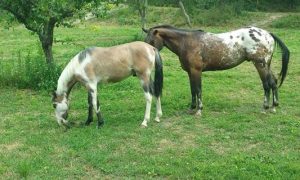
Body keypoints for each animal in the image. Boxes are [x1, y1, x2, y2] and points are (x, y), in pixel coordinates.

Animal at [144, 24, 290, 114]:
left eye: (151, 41)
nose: (147, 56)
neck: (187, 42)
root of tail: (268, 34)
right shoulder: (190, 72)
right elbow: (192, 90)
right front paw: (192, 108)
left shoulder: (196, 71)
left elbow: (198, 89)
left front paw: (199, 110)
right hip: (266, 65)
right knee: (274, 82)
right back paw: (273, 107)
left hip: (260, 65)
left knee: (266, 84)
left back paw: (265, 108)